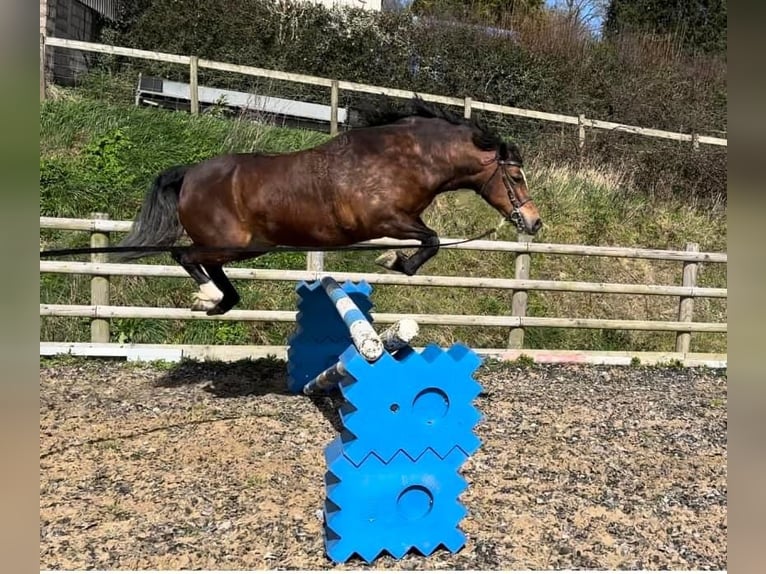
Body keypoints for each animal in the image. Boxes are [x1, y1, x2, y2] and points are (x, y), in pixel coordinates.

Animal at [117, 98, 544, 316]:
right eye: (516, 177)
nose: (534, 222)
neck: (405, 158)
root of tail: (189, 174)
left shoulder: (402, 220)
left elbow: (427, 240)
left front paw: (395, 260)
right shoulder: (386, 220)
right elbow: (433, 240)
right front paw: (395, 261)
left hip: (250, 246)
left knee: (203, 262)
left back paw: (221, 302)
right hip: (232, 243)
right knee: (185, 255)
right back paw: (209, 298)